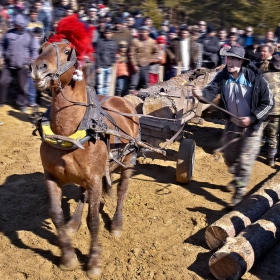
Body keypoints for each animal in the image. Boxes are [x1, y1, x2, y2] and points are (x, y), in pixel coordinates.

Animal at [30, 40, 139, 278]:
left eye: (66, 50)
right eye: (41, 48)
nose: (37, 67)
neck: (68, 132)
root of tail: (123, 99)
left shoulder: (95, 180)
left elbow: (94, 221)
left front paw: (94, 263)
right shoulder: (51, 176)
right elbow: (56, 215)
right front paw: (68, 257)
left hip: (128, 161)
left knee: (122, 190)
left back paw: (117, 223)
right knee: (83, 194)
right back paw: (74, 223)